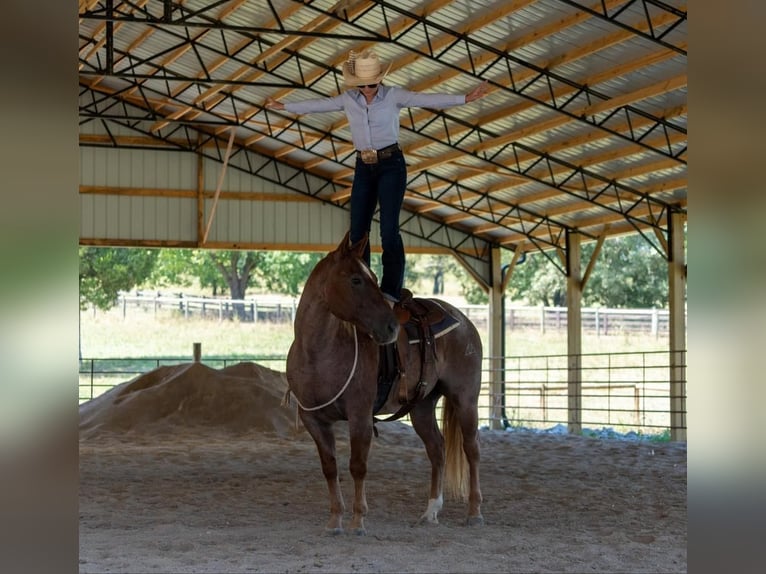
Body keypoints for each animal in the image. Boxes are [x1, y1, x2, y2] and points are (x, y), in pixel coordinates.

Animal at [284, 233, 484, 536]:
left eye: (373, 278)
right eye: (356, 279)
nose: (391, 327)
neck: (317, 354)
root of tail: (463, 321)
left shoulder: (360, 416)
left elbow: (358, 465)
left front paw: (358, 520)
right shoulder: (313, 419)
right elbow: (330, 467)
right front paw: (334, 520)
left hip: (466, 399)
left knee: (471, 449)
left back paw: (474, 512)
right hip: (422, 406)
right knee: (437, 449)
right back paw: (430, 511)